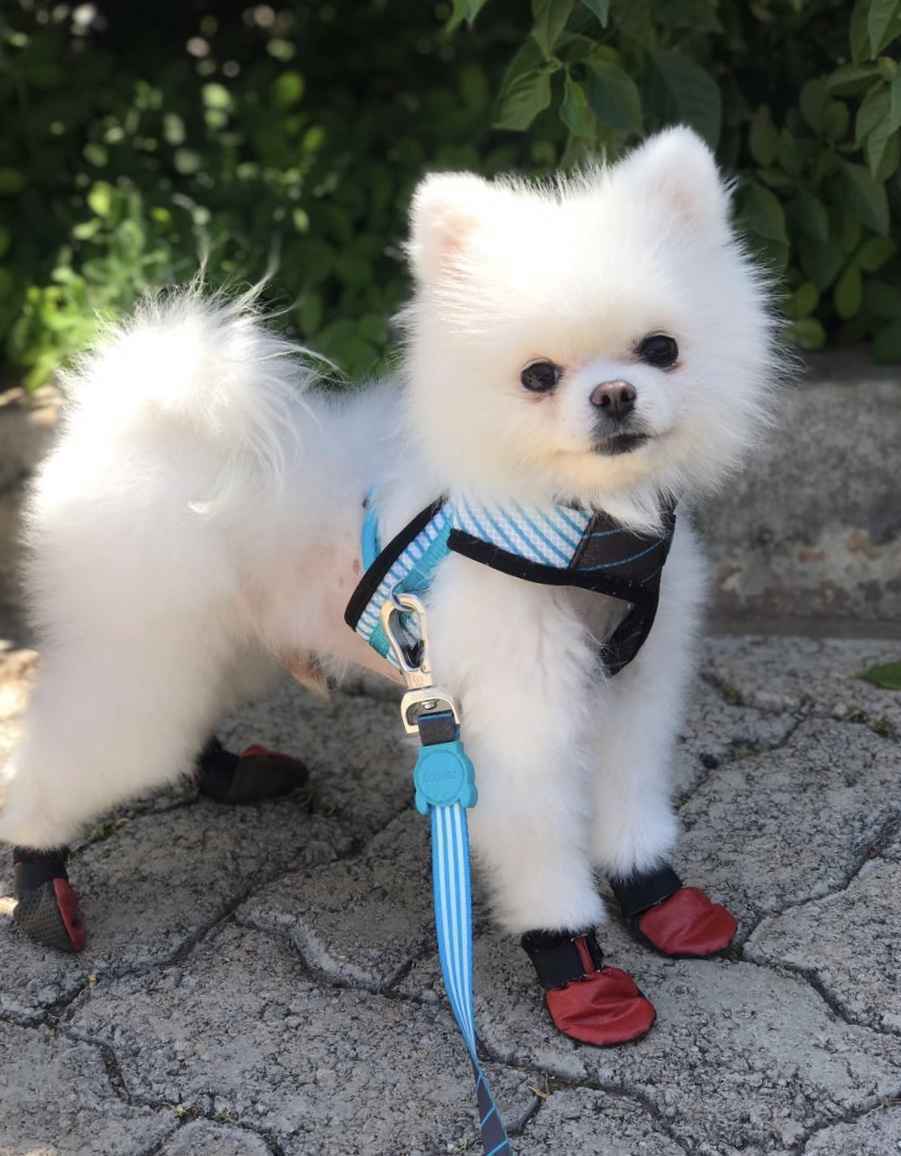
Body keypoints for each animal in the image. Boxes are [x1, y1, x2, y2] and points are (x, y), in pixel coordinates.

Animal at [0, 128, 777, 1049]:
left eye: (661, 348)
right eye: (538, 376)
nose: (615, 394)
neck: (583, 528)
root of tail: (124, 419)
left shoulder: (634, 686)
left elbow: (629, 801)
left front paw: (655, 898)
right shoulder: (515, 718)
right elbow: (539, 838)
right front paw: (575, 968)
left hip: (216, 641)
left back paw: (230, 776)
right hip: (142, 653)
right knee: (67, 758)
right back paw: (40, 881)